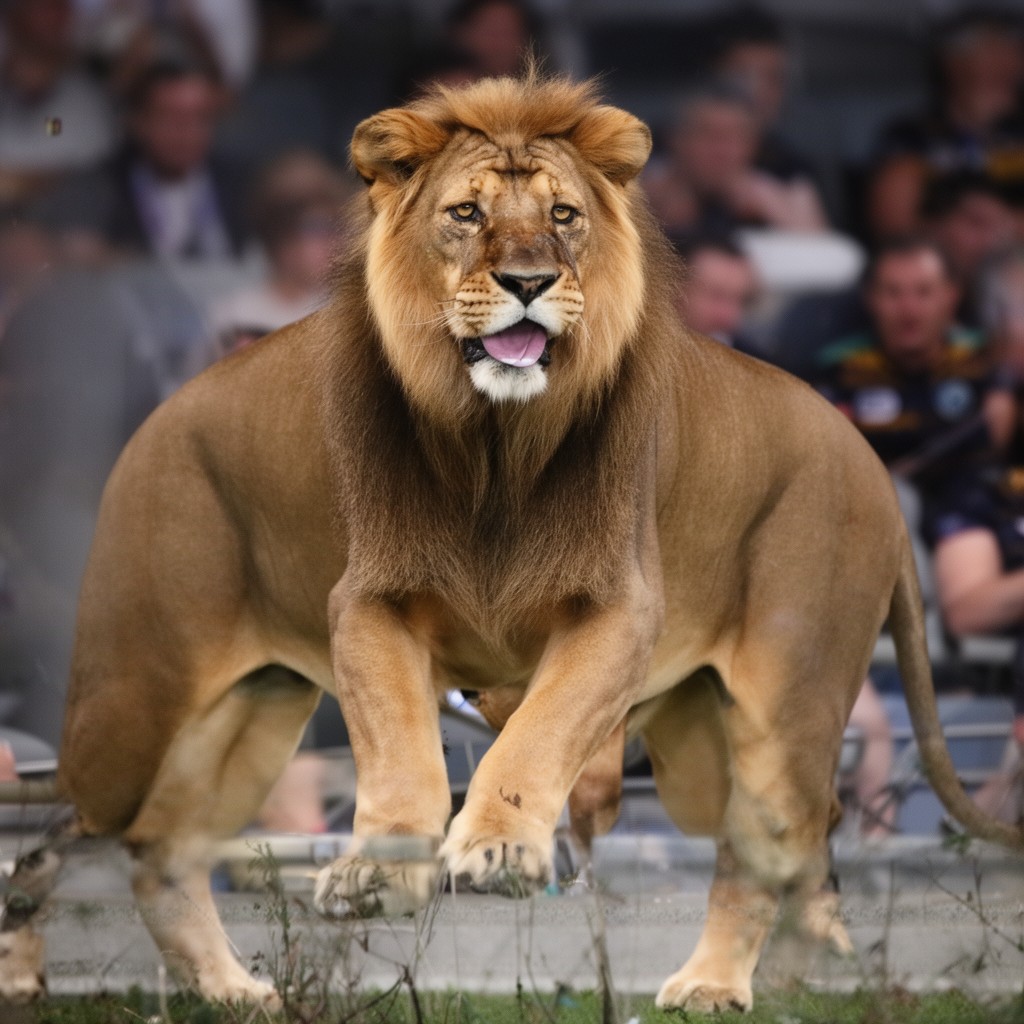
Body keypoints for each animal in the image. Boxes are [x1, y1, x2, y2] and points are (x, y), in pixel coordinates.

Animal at [4, 72, 1021, 1013]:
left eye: (564, 216)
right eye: (466, 213)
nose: (528, 283)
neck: (496, 444)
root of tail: (874, 464)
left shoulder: (618, 610)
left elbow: (538, 736)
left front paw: (493, 848)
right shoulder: (369, 601)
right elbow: (400, 743)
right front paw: (378, 872)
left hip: (773, 709)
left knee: (775, 841)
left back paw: (727, 983)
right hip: (154, 704)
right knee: (110, 838)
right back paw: (161, 981)